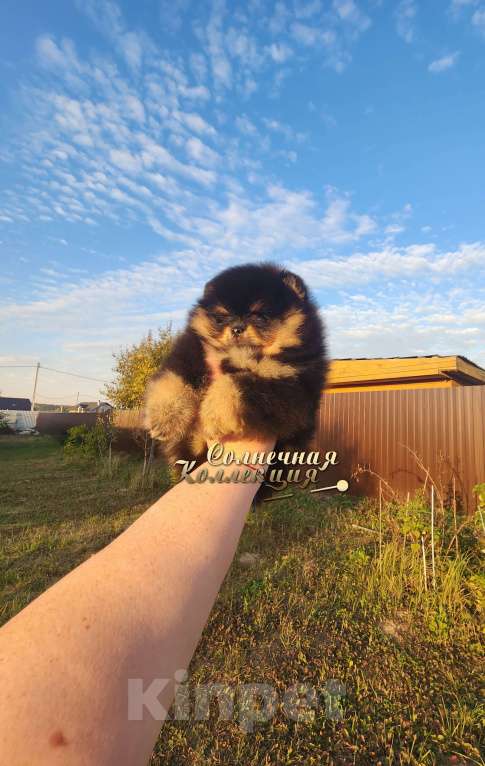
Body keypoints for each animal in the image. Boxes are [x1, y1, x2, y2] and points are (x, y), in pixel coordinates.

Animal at [143, 260, 326, 496]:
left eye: (259, 315)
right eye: (222, 317)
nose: (237, 328)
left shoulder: (291, 385)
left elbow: (239, 385)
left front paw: (213, 412)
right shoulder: (192, 351)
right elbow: (175, 380)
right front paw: (164, 417)